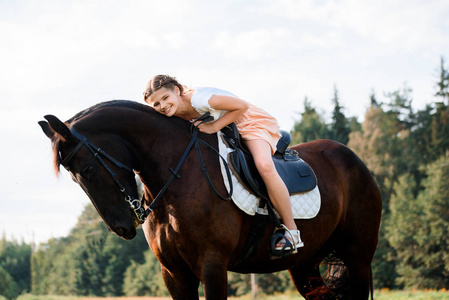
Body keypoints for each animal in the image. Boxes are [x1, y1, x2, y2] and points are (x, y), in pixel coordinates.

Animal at [39, 101, 382, 300]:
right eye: (74, 178)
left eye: (87, 169)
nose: (122, 227)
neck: (178, 174)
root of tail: (354, 160)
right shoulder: (174, 273)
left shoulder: (213, 265)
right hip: (305, 265)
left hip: (357, 257)